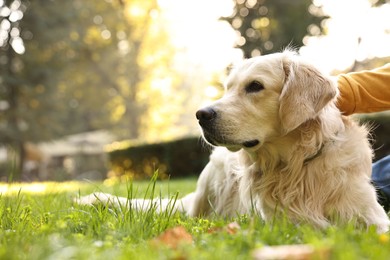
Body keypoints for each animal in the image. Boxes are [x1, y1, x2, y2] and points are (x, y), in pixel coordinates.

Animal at [78, 49, 390, 233]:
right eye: (227, 88)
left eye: (255, 86)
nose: (201, 114)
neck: (296, 164)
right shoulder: (281, 223)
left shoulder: (371, 217)